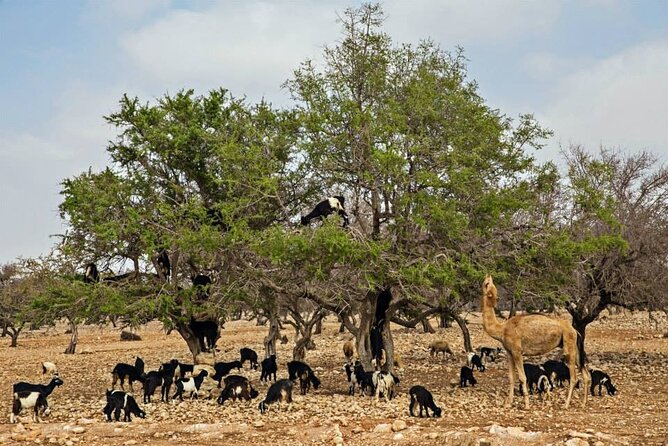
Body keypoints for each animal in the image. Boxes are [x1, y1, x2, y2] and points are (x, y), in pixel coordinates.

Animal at [480, 274, 588, 410]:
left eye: (488, 283)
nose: (488, 275)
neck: (501, 330)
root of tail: (574, 330)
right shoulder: (509, 352)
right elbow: (511, 377)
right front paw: (508, 403)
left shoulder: (517, 351)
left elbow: (522, 377)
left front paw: (526, 405)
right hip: (574, 347)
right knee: (585, 374)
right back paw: (583, 403)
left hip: (568, 345)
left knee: (573, 376)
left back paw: (566, 404)